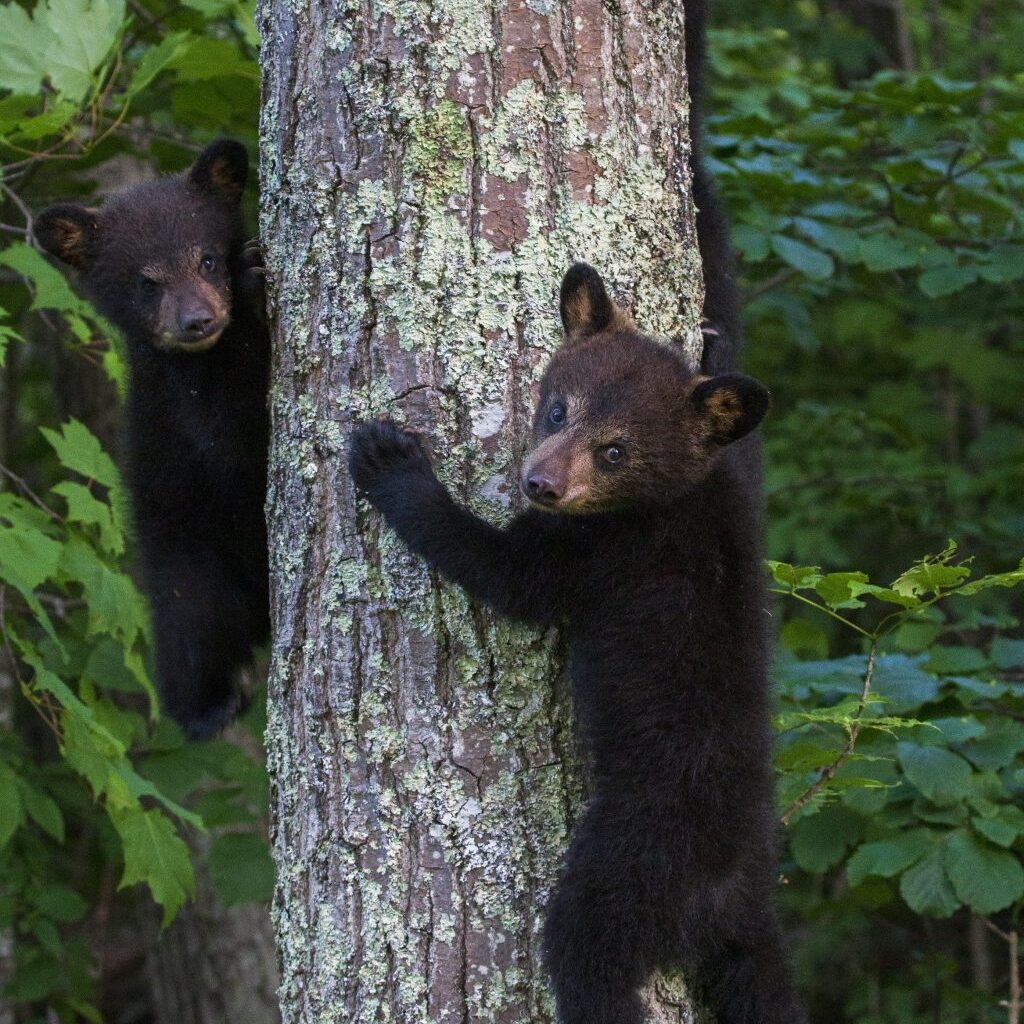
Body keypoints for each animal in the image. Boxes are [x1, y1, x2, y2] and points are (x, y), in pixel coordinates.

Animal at [36, 139, 270, 740]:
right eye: (147, 282)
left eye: (205, 258)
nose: (198, 320)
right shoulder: (179, 408)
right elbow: (232, 437)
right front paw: (250, 287)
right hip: (190, 558)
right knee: (193, 631)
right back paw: (210, 707)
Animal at [347, 264, 805, 1024]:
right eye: (559, 410)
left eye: (615, 450)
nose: (541, 484)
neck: (673, 496)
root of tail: (728, 900)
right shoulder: (740, 492)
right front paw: (711, 338)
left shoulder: (601, 549)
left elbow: (509, 576)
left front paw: (391, 462)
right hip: (750, 943)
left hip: (626, 869)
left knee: (585, 951)